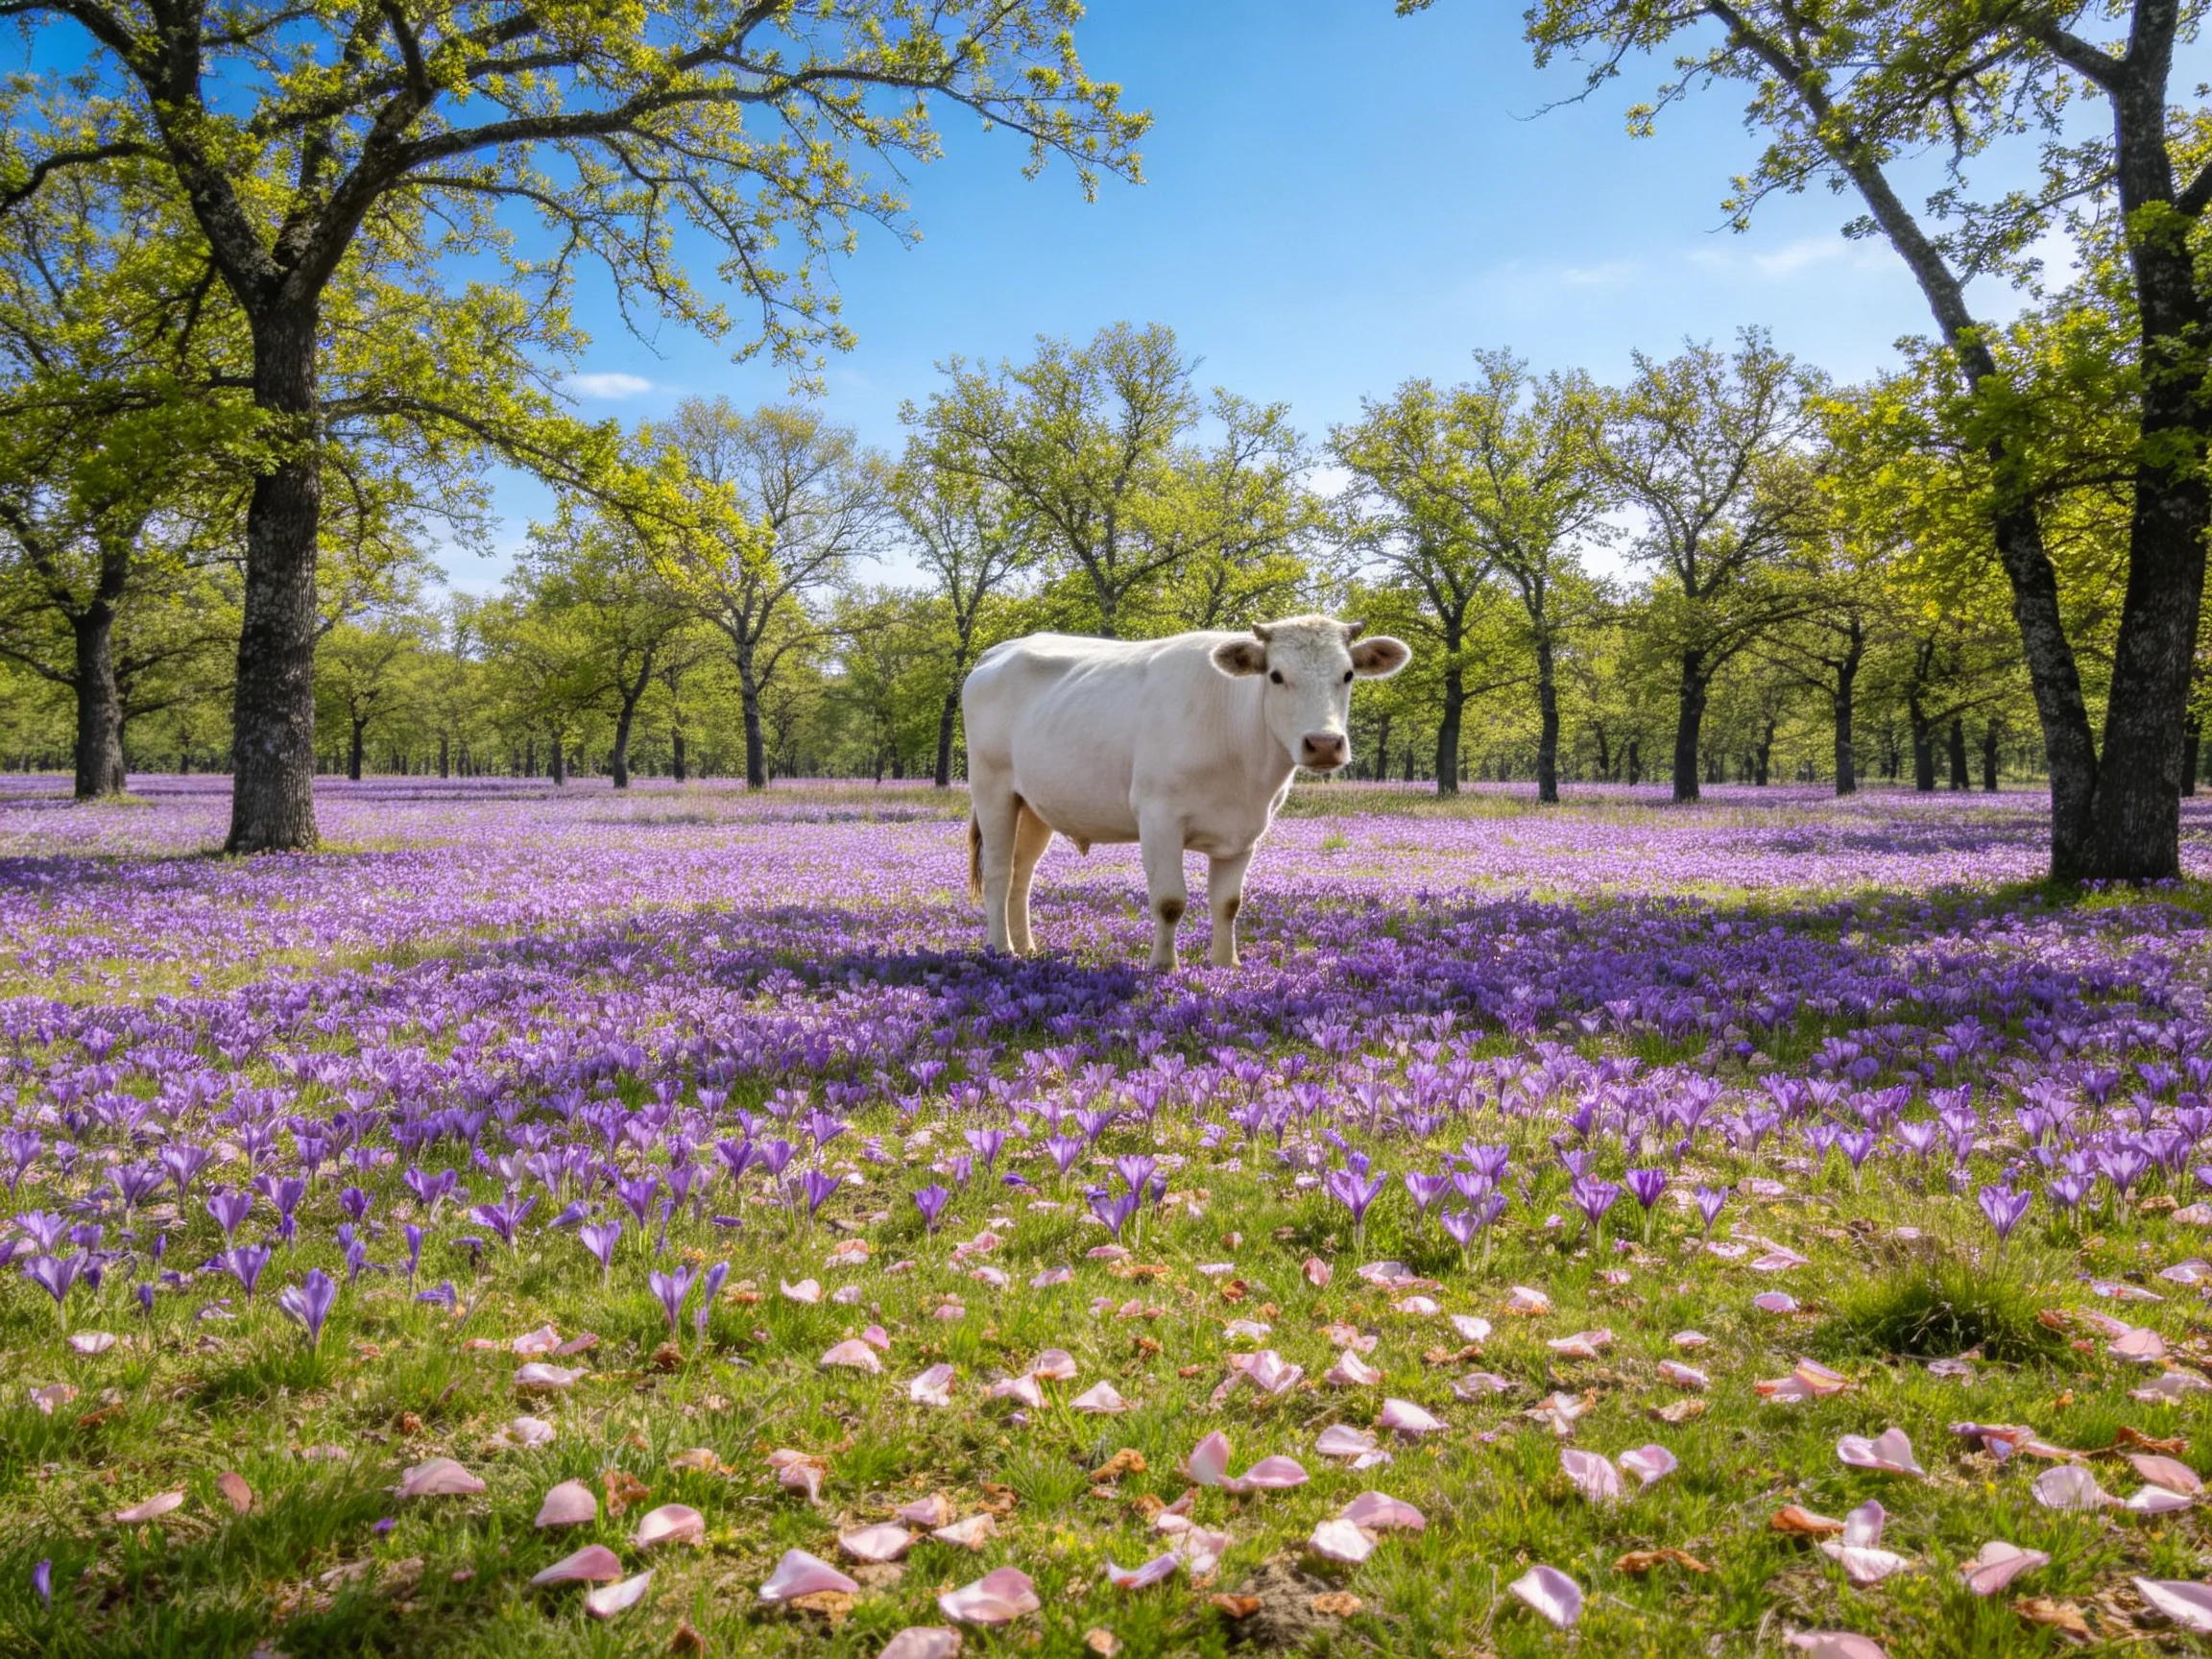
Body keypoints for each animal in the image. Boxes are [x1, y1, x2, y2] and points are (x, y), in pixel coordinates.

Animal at [961, 614, 1411, 969]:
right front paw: (1164, 967)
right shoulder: (1158, 818)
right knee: (1000, 872)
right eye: (1277, 675)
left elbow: (1228, 903)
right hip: (992, 789)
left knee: (1022, 874)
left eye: (1347, 675)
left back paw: (1028, 948)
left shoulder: (1245, 832)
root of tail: (997, 652)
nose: (1324, 743)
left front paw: (1226, 964)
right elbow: (1170, 901)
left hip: (1034, 805)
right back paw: (1001, 949)